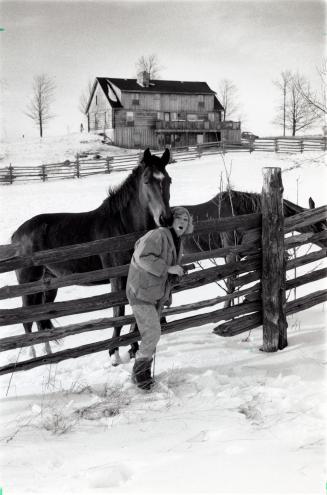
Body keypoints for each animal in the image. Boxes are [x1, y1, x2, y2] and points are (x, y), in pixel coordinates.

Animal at [11, 149, 173, 362]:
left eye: (168, 180)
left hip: (48, 284)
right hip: (28, 284)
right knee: (27, 321)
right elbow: (118, 313)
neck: (122, 227)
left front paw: (133, 348)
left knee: (40, 318)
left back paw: (48, 353)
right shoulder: (117, 278)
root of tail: (17, 235)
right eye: (147, 181)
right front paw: (114, 354)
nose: (166, 218)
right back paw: (33, 354)